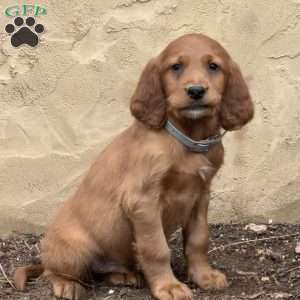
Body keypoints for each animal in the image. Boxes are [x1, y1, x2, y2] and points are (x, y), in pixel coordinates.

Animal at [14, 34, 253, 298]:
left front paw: (204, 276)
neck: (187, 138)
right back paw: (67, 285)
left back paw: (124, 275)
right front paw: (168, 287)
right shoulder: (143, 201)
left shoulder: (200, 195)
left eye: (213, 66)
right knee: (52, 272)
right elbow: (157, 249)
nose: (196, 90)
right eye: (176, 67)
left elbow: (199, 240)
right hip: (75, 249)